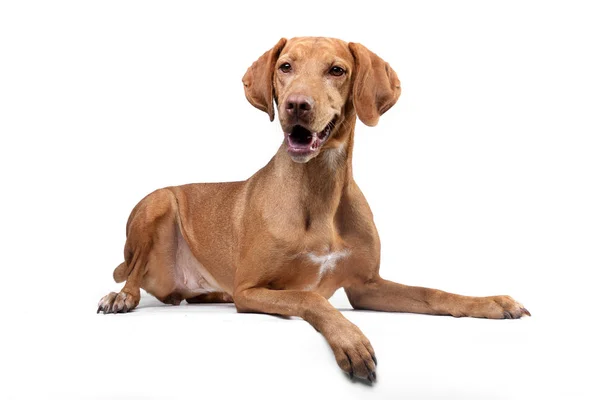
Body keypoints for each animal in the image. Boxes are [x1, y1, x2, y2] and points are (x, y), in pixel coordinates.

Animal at [98, 36, 528, 382]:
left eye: (337, 70)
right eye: (285, 66)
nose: (296, 105)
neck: (320, 189)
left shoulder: (366, 286)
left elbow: (431, 292)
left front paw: (490, 303)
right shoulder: (251, 290)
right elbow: (311, 299)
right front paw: (351, 340)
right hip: (158, 202)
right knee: (132, 271)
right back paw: (121, 296)